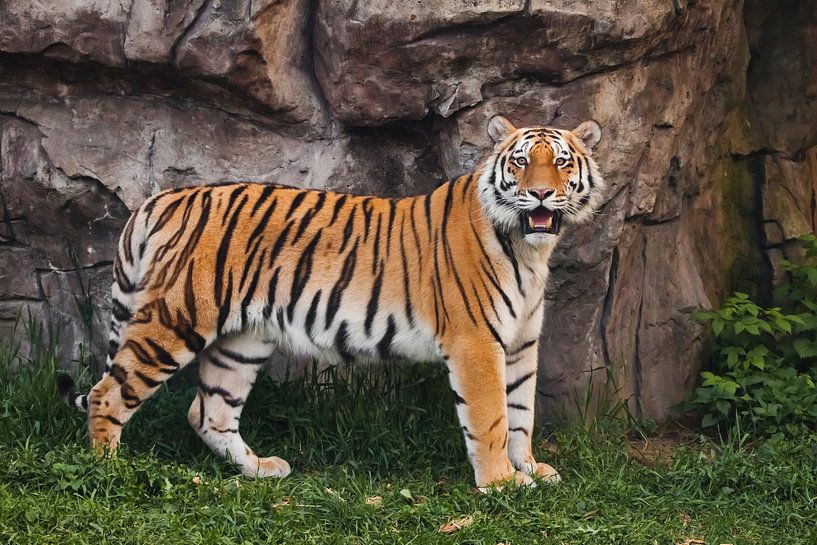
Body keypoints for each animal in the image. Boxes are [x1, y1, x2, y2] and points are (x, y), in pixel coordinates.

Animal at [55, 115, 600, 488]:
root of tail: (161, 198)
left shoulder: (521, 343)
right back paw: (107, 472)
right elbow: (490, 417)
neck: (530, 250)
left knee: (209, 412)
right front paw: (501, 483)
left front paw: (530, 468)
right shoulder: (476, 343)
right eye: (521, 162)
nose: (541, 194)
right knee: (108, 394)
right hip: (174, 320)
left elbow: (521, 410)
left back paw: (261, 469)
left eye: (562, 162)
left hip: (243, 341)